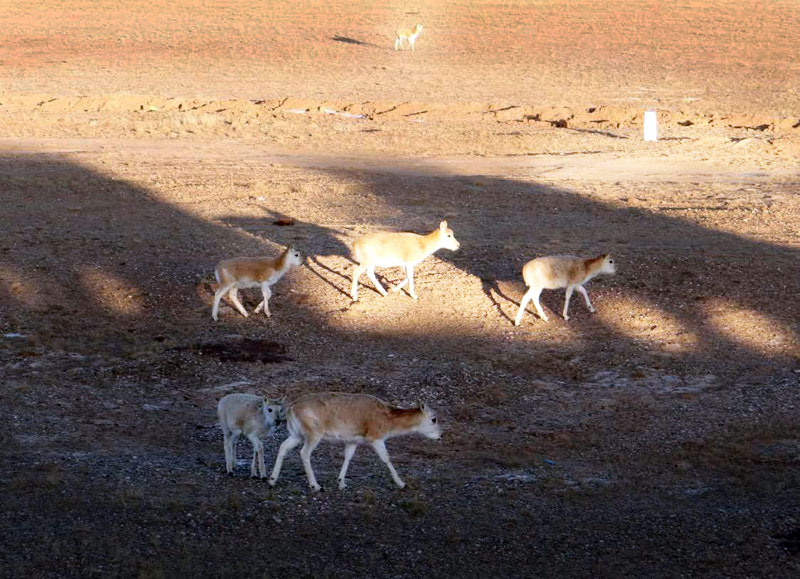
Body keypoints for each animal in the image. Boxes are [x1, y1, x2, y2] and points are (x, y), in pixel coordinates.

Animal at [268, 392, 444, 492]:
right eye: (434, 419)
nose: (441, 435)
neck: (388, 420)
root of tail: (291, 408)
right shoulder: (376, 437)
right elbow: (386, 458)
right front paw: (402, 484)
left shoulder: (353, 441)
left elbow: (348, 457)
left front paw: (341, 483)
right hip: (313, 434)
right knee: (304, 453)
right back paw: (315, 486)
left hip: (296, 434)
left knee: (283, 447)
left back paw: (271, 480)